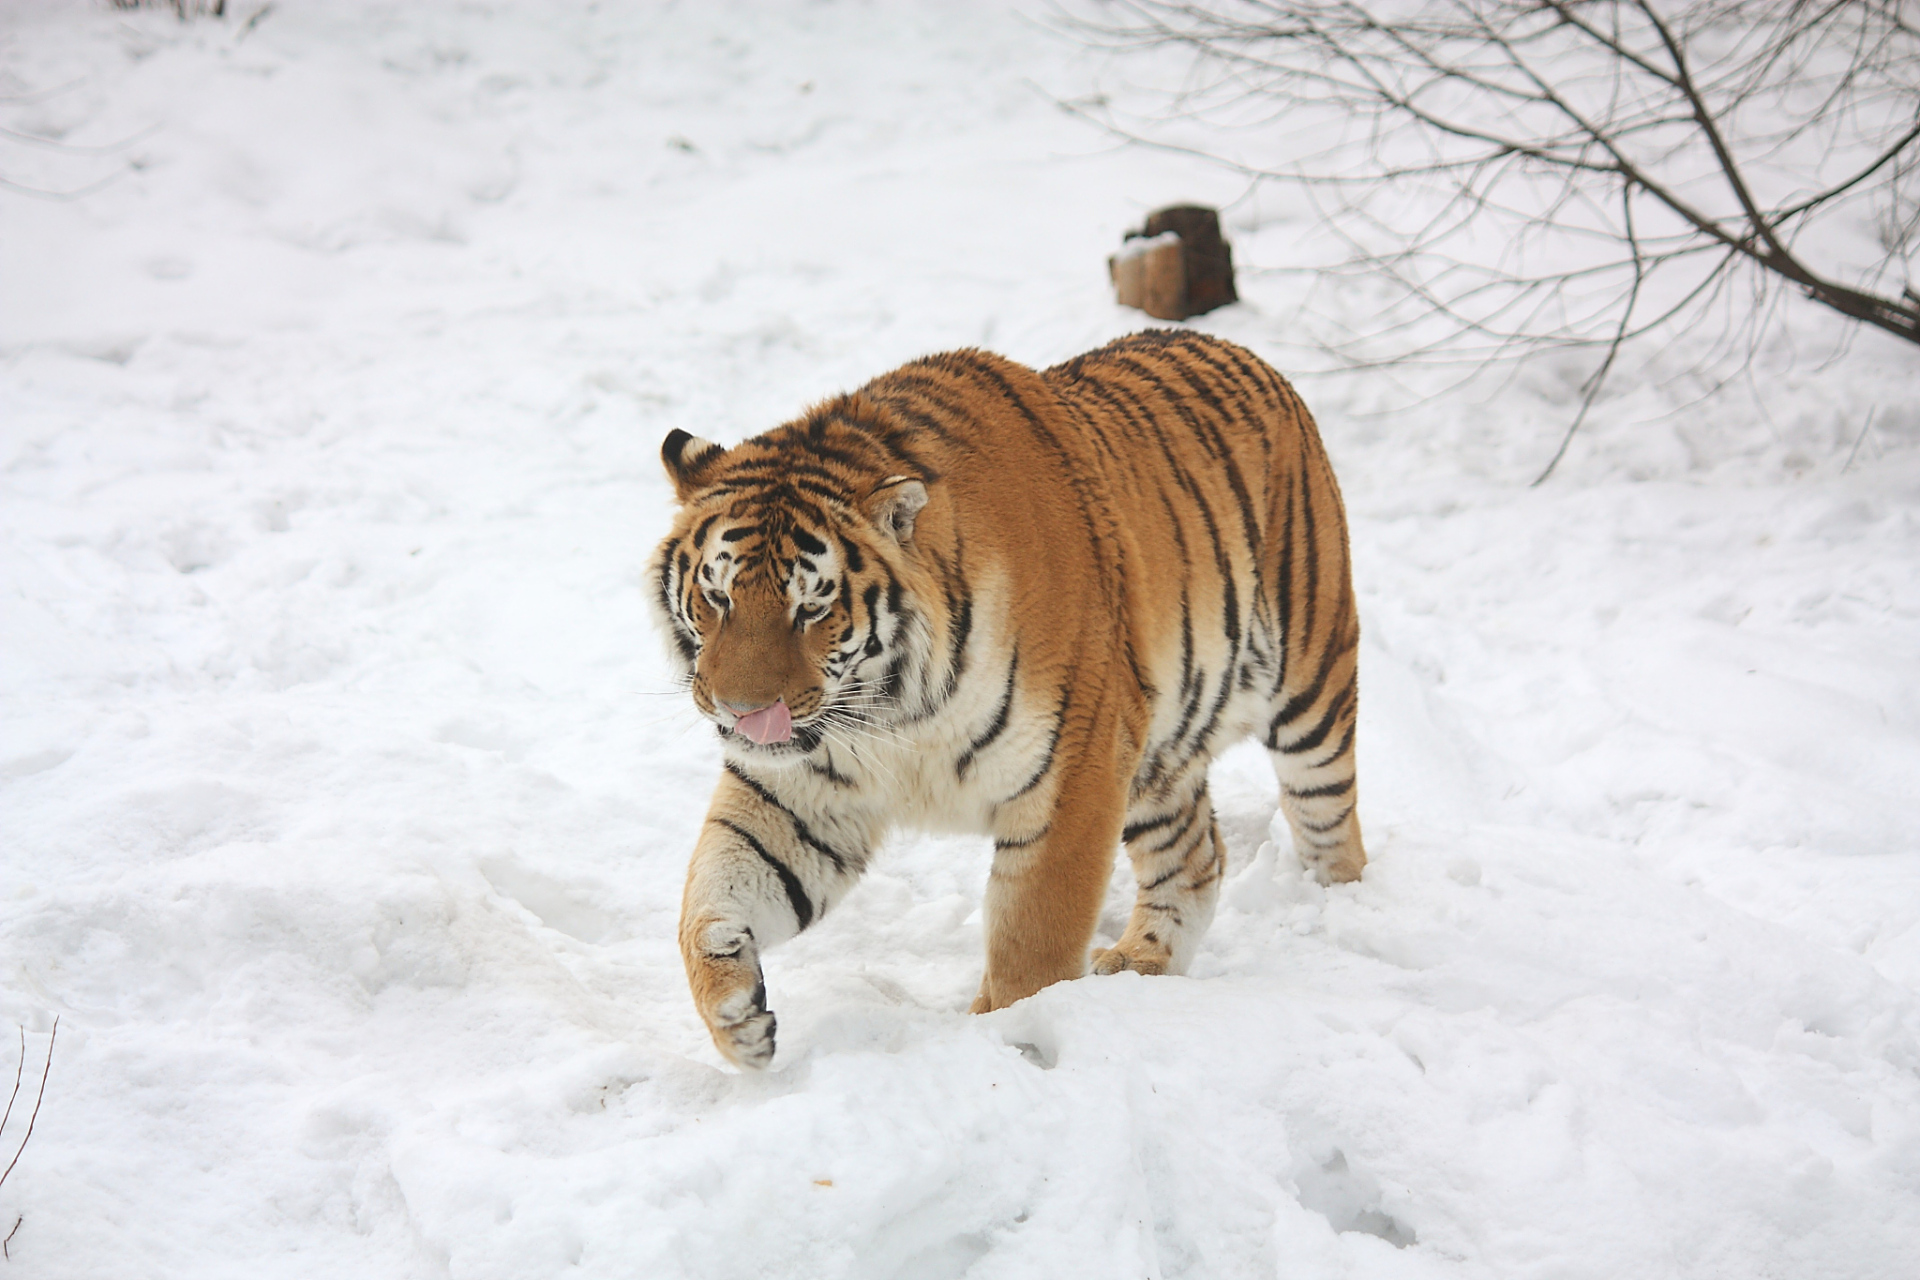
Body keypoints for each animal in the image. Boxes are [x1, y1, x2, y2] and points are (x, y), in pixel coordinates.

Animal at [649, 329, 1365, 1069]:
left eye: (811, 608)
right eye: (718, 597)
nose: (739, 711)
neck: (892, 710)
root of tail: (1236, 347)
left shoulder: (1074, 775)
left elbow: (1033, 943)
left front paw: (1009, 1040)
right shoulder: (799, 793)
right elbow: (712, 889)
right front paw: (737, 1018)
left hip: (1309, 687)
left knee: (1326, 815)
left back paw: (1339, 906)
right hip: (1154, 758)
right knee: (1195, 857)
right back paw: (1142, 962)